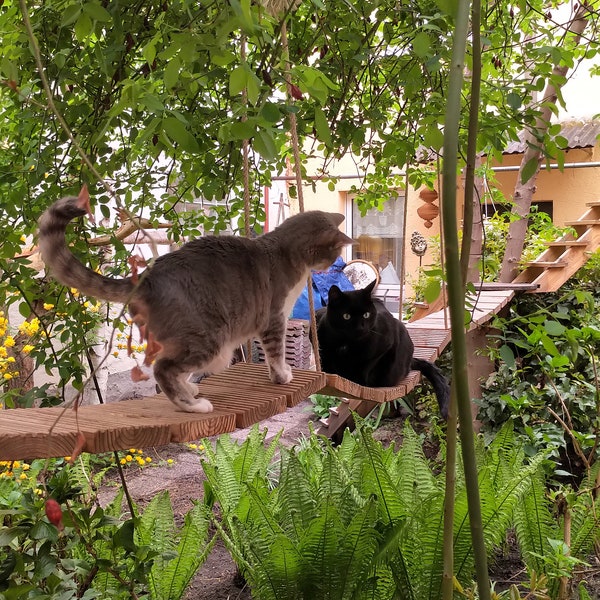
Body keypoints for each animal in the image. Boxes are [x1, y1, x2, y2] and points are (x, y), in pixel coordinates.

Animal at [37, 188, 354, 412]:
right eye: (334, 252)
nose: (333, 264)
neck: (283, 251)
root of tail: (148, 277)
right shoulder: (274, 320)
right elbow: (275, 355)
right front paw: (283, 376)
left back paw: (189, 391)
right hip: (212, 341)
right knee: (163, 369)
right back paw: (193, 405)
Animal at [316, 280, 448, 418]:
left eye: (366, 315)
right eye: (346, 316)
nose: (360, 327)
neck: (347, 343)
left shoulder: (385, 343)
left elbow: (366, 365)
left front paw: (358, 380)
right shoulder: (324, 346)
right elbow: (327, 360)